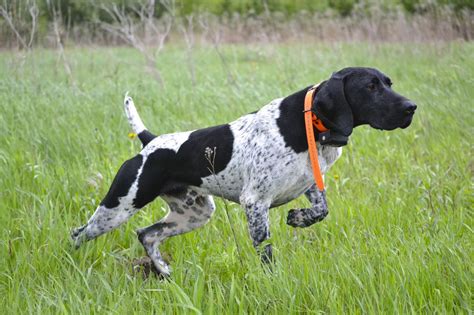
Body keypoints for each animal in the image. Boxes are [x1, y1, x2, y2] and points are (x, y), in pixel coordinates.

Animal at [72, 67, 416, 276]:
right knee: (78, 234)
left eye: (389, 84)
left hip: (194, 213)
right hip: (117, 207)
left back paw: (164, 272)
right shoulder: (255, 203)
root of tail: (150, 141)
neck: (311, 125)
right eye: (370, 86)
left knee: (146, 234)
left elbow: (321, 211)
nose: (412, 107)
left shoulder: (309, 185)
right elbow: (266, 252)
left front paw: (298, 218)